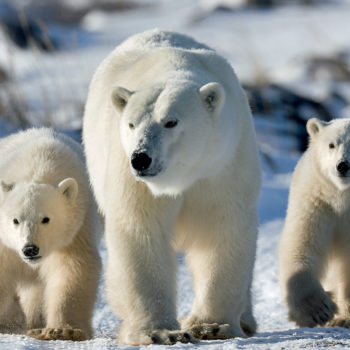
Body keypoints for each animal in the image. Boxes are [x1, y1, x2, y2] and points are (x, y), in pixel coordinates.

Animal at [0, 128, 100, 340]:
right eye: (15, 220)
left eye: (46, 219)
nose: (30, 249)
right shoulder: (4, 243)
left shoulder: (76, 229)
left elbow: (73, 269)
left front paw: (63, 330)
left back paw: (34, 324)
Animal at [83, 29, 262, 344]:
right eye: (131, 124)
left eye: (171, 122)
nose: (141, 158)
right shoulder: (133, 179)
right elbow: (141, 230)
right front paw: (161, 332)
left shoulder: (222, 167)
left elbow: (221, 230)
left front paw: (211, 326)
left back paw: (246, 320)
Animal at [278, 119, 350, 330]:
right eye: (331, 144)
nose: (343, 166)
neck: (342, 196)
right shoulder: (317, 200)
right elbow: (302, 245)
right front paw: (318, 311)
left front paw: (343, 316)